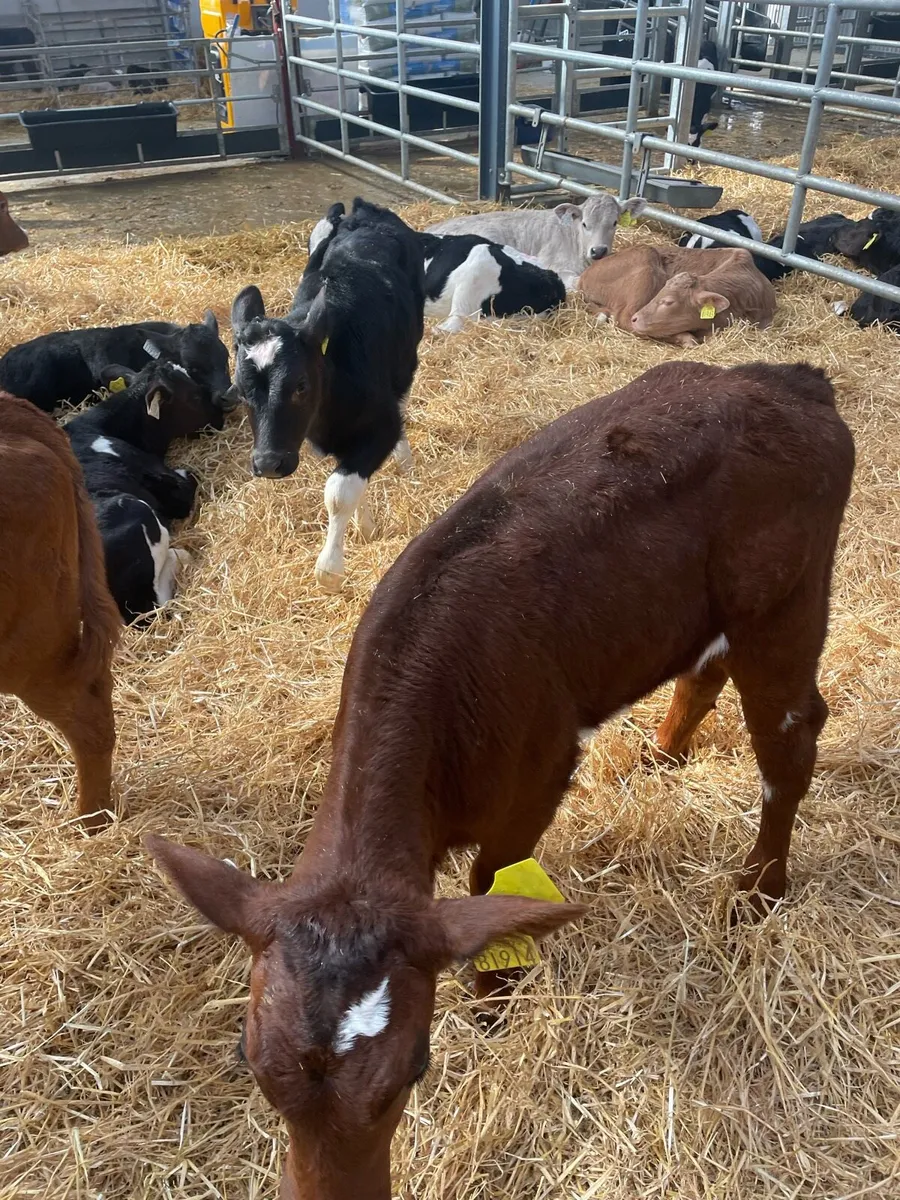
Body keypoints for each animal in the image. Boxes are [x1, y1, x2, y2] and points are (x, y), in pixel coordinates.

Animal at [147, 358, 854, 1200]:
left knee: (790, 737)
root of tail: (787, 380)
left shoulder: (539, 774)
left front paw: (491, 1011)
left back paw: (758, 887)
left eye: (411, 1073)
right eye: (253, 1068)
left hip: (783, 603)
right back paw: (661, 753)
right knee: (705, 669)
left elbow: (492, 885)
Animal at [231, 197, 425, 591]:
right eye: (241, 391)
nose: (268, 463)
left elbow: (339, 491)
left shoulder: (382, 425)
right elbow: (350, 482)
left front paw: (329, 568)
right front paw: (365, 527)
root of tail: (364, 211)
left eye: (300, 385)